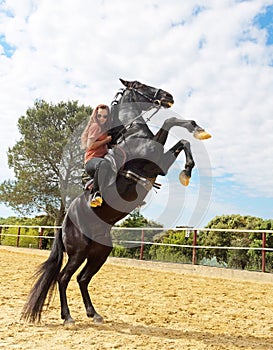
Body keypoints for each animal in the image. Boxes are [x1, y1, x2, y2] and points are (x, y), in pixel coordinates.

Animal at [21, 78, 210, 326]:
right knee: (64, 278)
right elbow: (174, 129)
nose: (168, 95)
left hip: (100, 252)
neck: (133, 134)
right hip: (78, 253)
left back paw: (94, 313)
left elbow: (178, 132)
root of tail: (64, 223)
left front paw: (198, 131)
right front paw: (186, 171)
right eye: (140, 85)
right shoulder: (158, 161)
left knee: (82, 279)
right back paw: (68, 317)